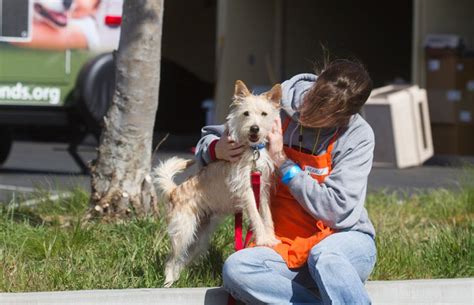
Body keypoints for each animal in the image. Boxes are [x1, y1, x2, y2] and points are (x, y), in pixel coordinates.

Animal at [154, 79, 282, 286]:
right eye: (246, 113)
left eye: (264, 114)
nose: (254, 128)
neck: (252, 150)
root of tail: (175, 191)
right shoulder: (246, 191)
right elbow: (256, 216)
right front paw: (263, 239)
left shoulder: (261, 190)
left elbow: (266, 215)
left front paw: (271, 238)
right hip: (184, 232)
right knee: (171, 259)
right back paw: (167, 284)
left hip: (200, 237)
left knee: (182, 260)